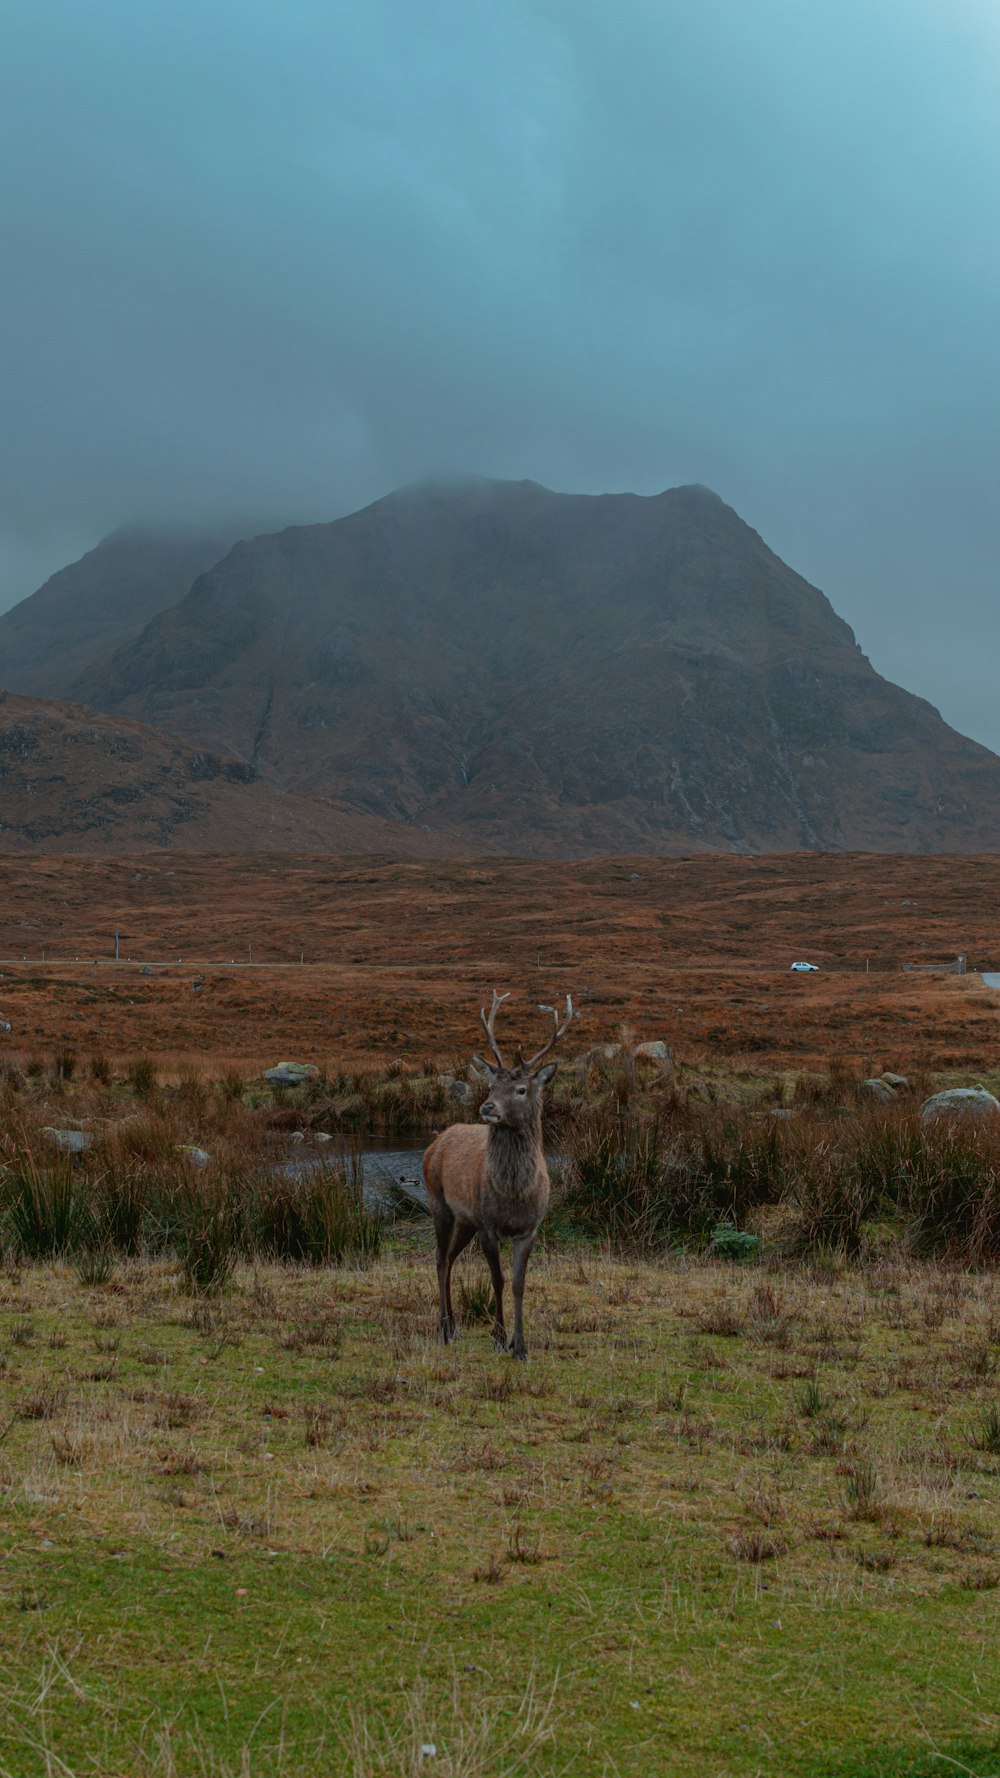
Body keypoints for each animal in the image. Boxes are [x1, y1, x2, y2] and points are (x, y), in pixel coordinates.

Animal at [423, 988, 572, 1358]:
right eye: (490, 1086)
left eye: (521, 1090)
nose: (487, 1106)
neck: (514, 1194)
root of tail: (436, 1142)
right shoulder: (489, 1226)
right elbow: (498, 1280)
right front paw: (499, 1337)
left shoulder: (529, 1229)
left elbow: (519, 1283)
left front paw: (520, 1345)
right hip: (439, 1204)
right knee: (440, 1259)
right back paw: (442, 1328)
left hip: (466, 1220)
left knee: (450, 1258)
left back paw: (454, 1326)